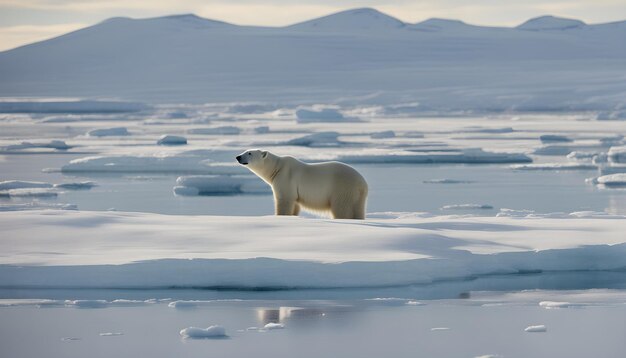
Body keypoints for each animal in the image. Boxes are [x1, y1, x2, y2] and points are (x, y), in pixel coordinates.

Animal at [238, 148, 366, 218]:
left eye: (249, 153)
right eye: (245, 151)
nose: (238, 157)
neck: (277, 168)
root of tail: (363, 183)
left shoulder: (285, 178)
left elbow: (284, 200)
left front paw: (280, 216)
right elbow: (295, 205)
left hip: (342, 188)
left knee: (341, 208)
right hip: (357, 195)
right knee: (358, 209)